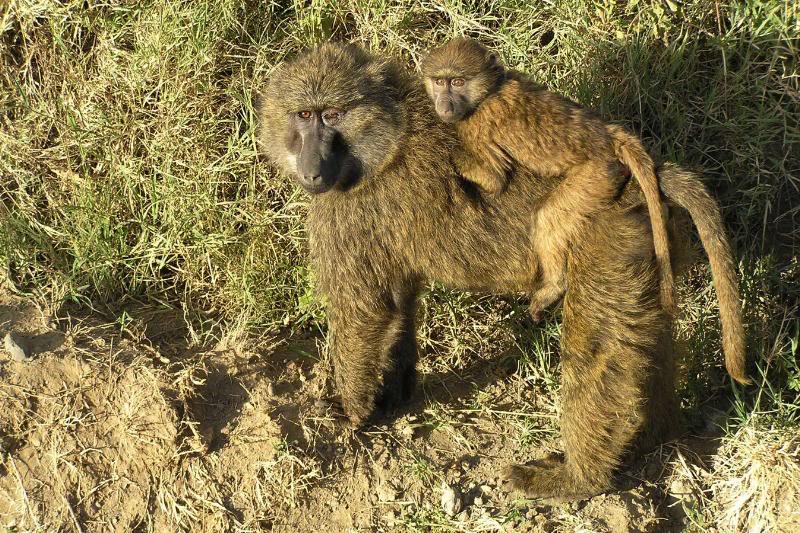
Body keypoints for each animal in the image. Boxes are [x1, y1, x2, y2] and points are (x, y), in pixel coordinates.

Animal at [421, 38, 676, 322]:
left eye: (457, 82)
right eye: (439, 82)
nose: (444, 106)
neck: (490, 91)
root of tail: (607, 136)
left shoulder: (477, 128)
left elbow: (494, 180)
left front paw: (453, 158)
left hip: (595, 176)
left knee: (549, 215)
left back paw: (554, 286)